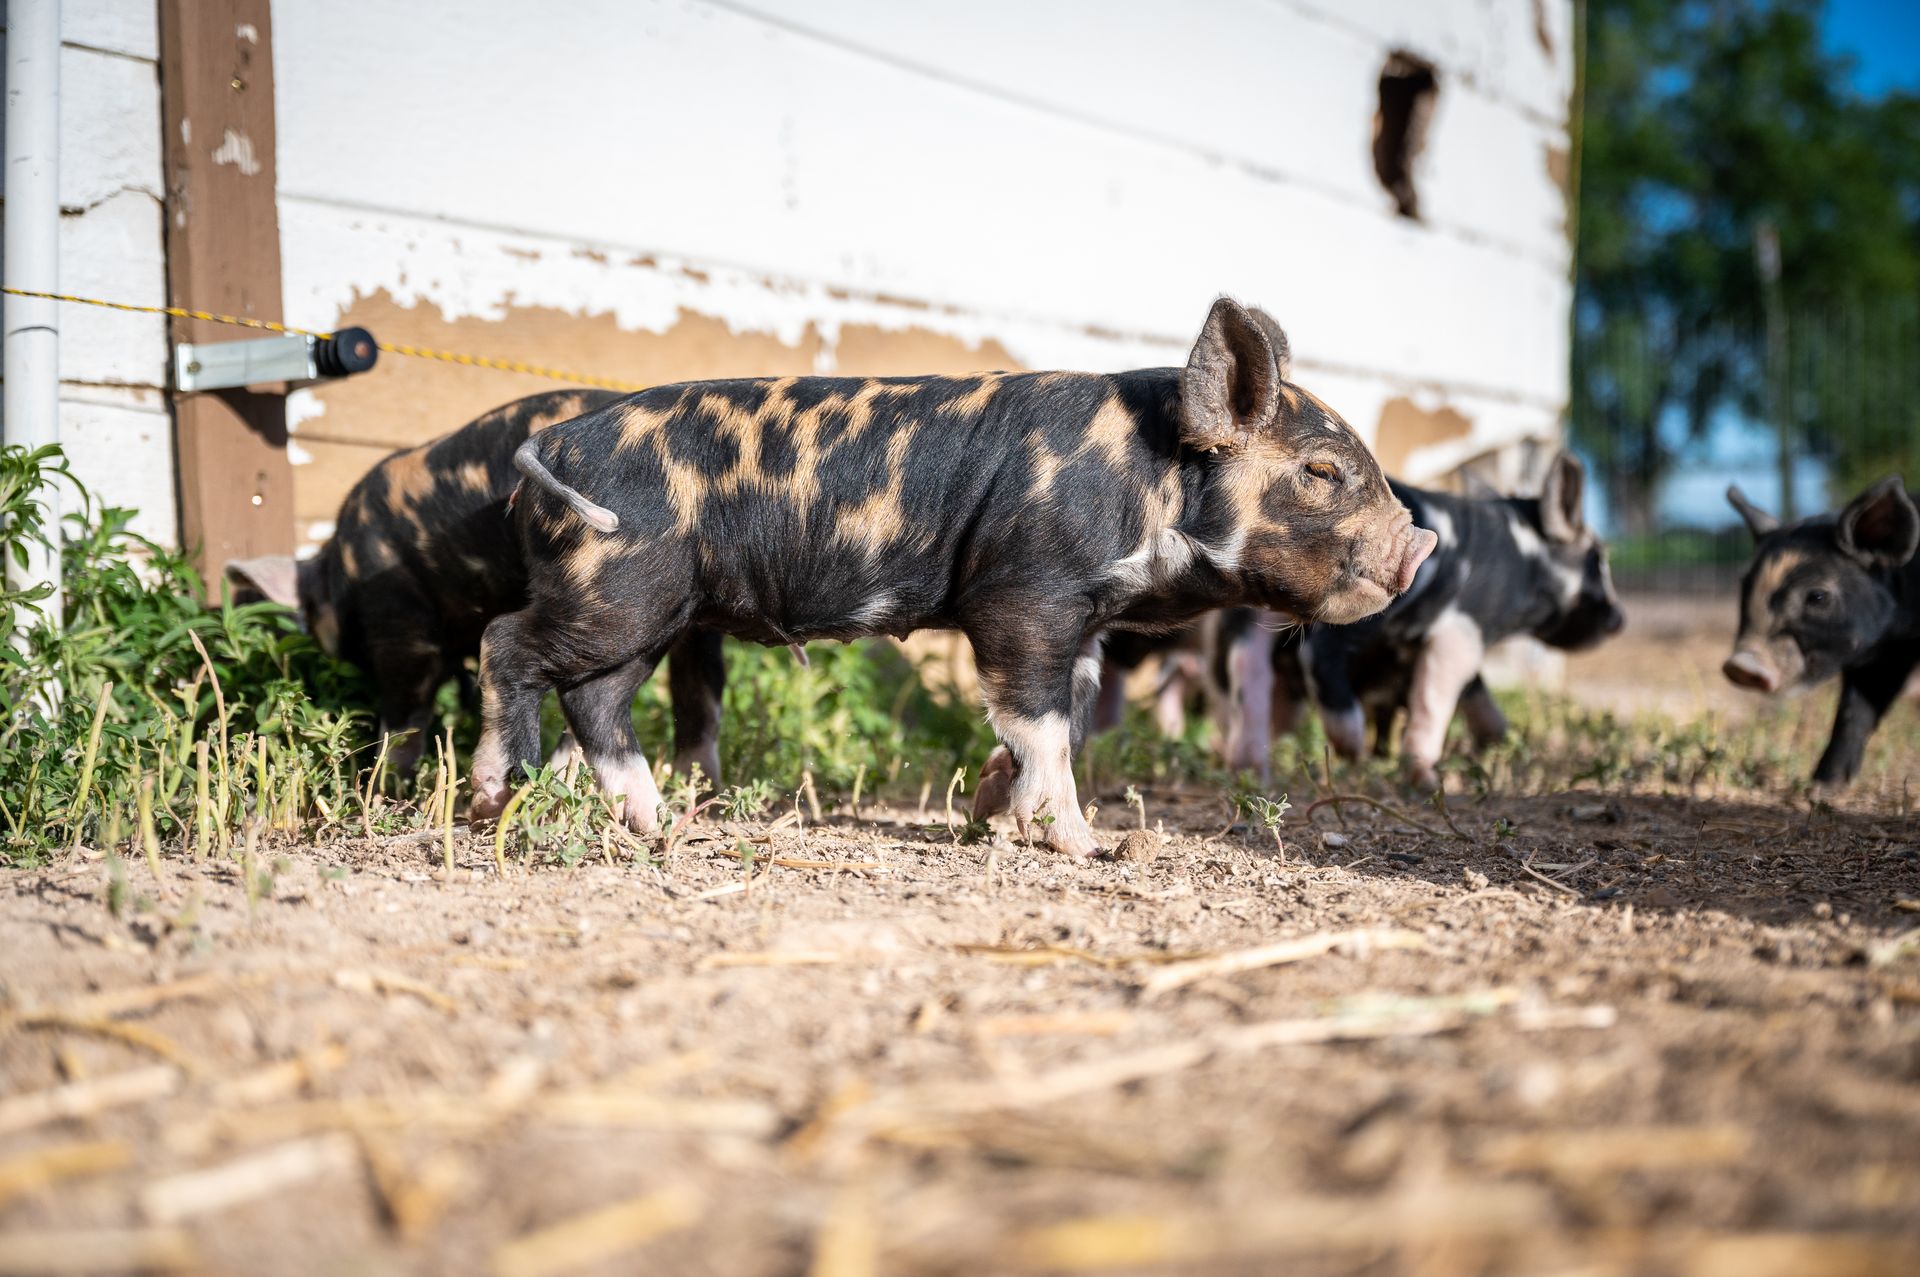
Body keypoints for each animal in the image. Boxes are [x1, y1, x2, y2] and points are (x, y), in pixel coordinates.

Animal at [475, 296, 1437, 855]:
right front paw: (1086, 843)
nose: (1421, 542)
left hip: (651, 608)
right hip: (617, 585)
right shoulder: (1025, 593)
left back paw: (659, 825)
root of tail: (553, 446)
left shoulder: (1083, 622)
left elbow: (1061, 717)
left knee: (596, 699)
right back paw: (494, 796)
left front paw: (987, 808)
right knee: (506, 642)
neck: (1148, 489)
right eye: (1321, 472)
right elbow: (1042, 723)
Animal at [1722, 476, 1919, 790]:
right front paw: (1821, 789)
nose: (1739, 665)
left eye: (1817, 596)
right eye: (1744, 587)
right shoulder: (1885, 657)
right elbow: (1853, 712)